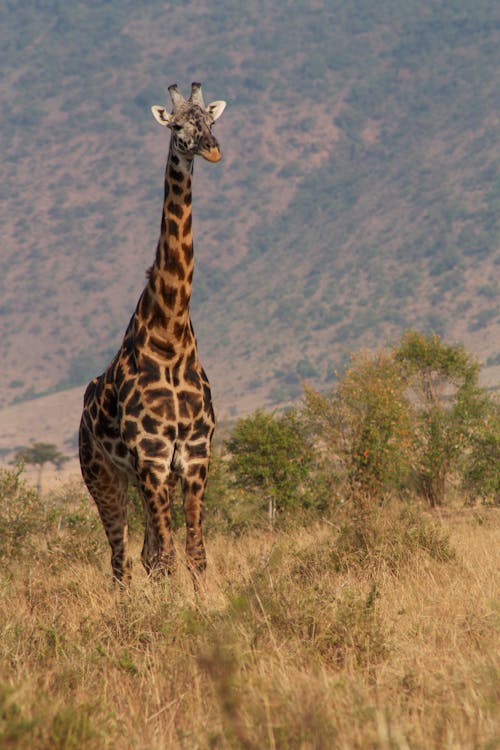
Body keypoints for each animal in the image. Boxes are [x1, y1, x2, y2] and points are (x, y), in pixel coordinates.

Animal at [79, 83, 228, 588]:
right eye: (177, 125)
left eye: (211, 122)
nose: (212, 149)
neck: (171, 332)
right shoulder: (152, 455)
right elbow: (166, 559)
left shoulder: (194, 454)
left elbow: (194, 554)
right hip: (103, 476)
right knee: (120, 561)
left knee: (142, 555)